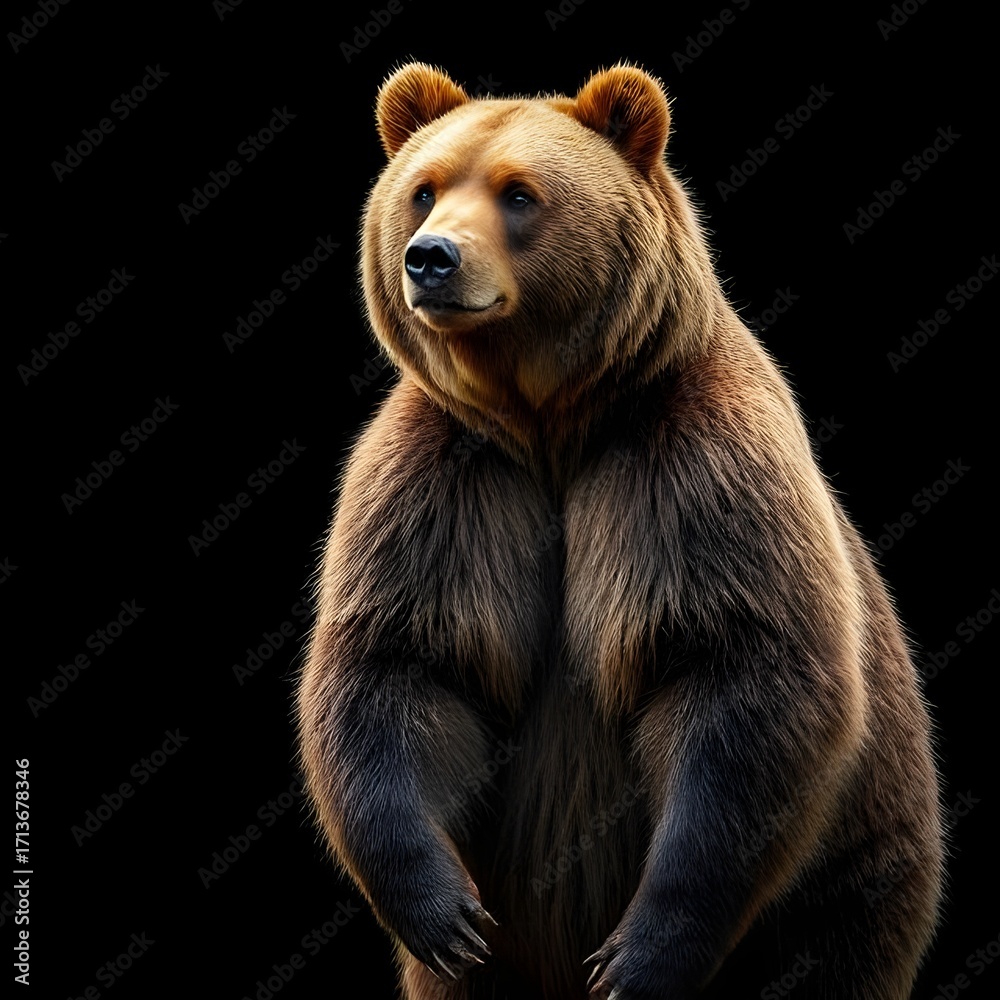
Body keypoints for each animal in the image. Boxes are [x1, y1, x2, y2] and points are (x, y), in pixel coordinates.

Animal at [297, 63, 943, 999]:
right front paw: (445, 916)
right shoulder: (444, 486)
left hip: (854, 869)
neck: (549, 424)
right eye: (423, 188)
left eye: (519, 193)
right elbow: (404, 662)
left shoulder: (690, 470)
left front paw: (637, 956)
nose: (431, 258)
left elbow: (739, 668)